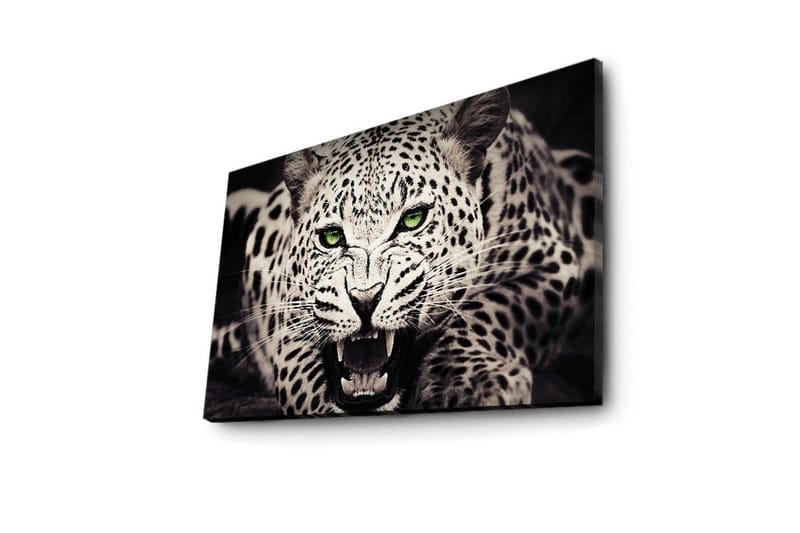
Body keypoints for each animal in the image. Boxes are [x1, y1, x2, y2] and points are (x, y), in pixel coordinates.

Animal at [208, 86, 602, 417]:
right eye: (331, 237)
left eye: (413, 218)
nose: (364, 299)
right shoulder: (286, 310)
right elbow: (298, 368)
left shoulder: (552, 263)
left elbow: (489, 307)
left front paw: (466, 383)